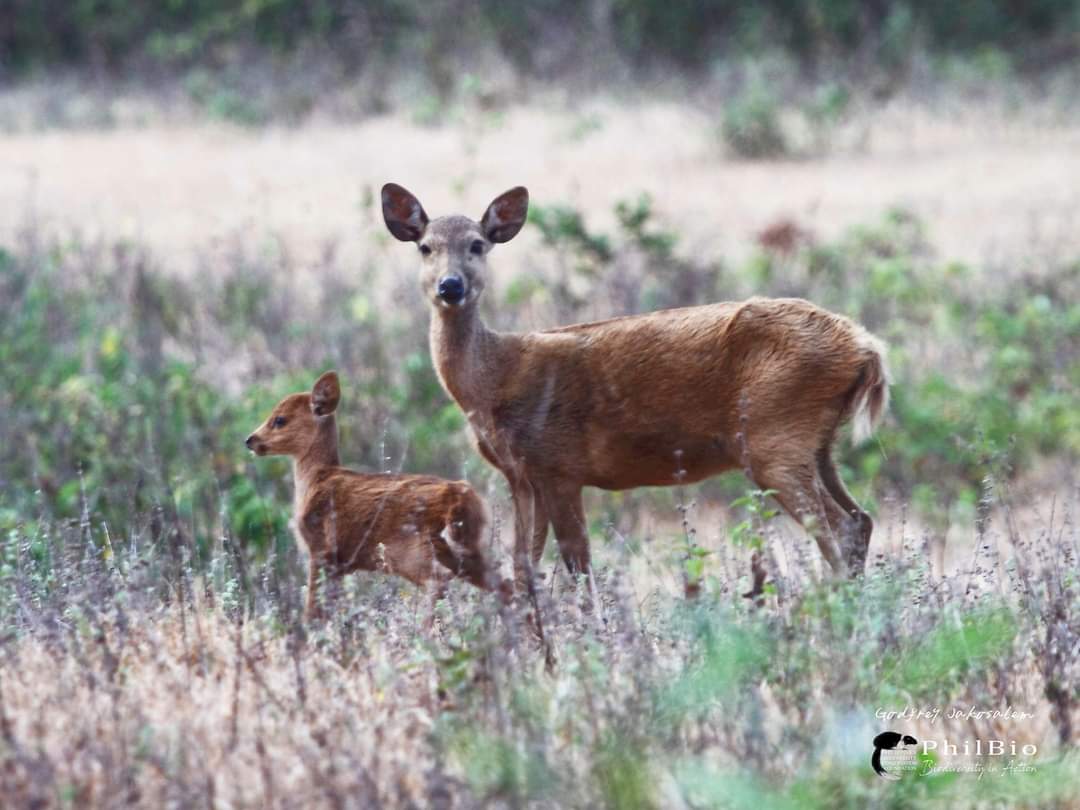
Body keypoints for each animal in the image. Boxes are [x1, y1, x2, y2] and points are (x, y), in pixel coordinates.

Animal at [245, 371, 509, 620]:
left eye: (280, 419)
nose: (250, 440)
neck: (315, 480)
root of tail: (459, 496)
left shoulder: (321, 548)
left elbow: (313, 607)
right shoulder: (340, 563)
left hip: (407, 548)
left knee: (439, 580)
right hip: (463, 547)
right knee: (504, 583)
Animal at [381, 183, 891, 593]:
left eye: (478, 244)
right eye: (425, 247)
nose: (450, 286)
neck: (494, 383)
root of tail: (867, 349)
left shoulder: (559, 464)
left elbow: (578, 564)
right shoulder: (521, 474)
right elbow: (524, 565)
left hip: (774, 434)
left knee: (838, 528)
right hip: (817, 443)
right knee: (860, 519)